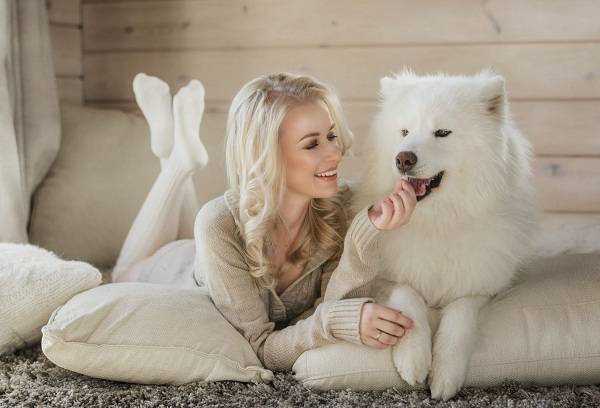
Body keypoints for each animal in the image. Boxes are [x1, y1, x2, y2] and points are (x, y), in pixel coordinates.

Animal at [332, 69, 540, 398]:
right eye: (404, 131)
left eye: (442, 132)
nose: (403, 158)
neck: (437, 219)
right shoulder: (383, 279)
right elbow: (408, 296)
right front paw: (413, 359)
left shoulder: (480, 287)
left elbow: (459, 320)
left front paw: (445, 376)